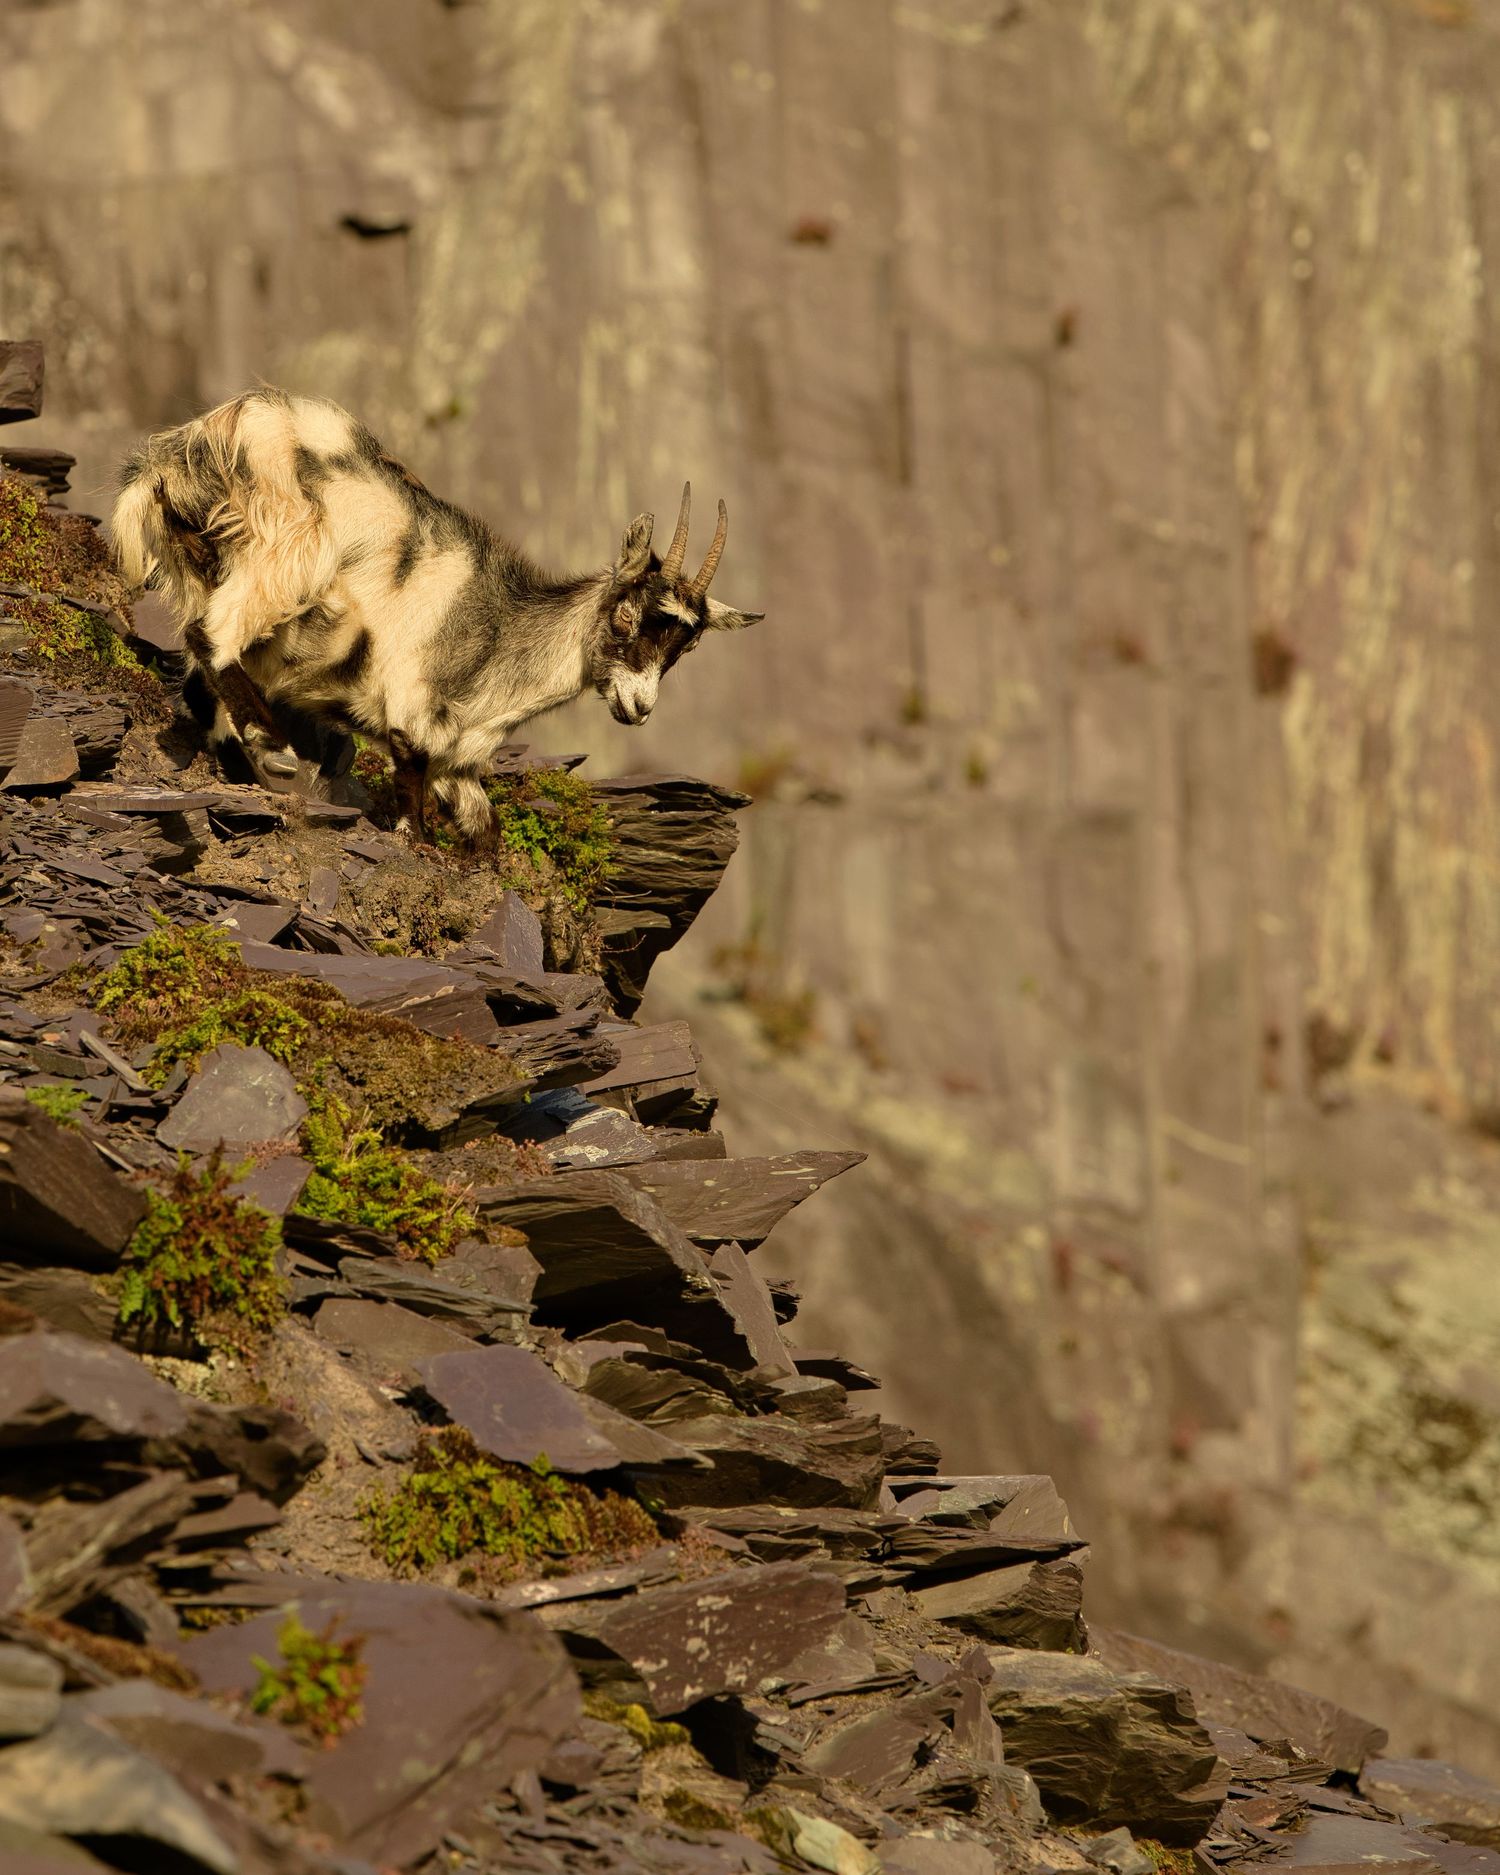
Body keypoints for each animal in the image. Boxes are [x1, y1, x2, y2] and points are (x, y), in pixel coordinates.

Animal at [111, 388, 761, 842]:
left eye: (687, 645)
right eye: (626, 616)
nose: (639, 707)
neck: (495, 633)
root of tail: (196, 441)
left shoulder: (459, 766)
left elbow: (484, 835)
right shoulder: (412, 722)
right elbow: (414, 819)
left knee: (202, 672)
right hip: (287, 551)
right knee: (211, 634)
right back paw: (272, 747)